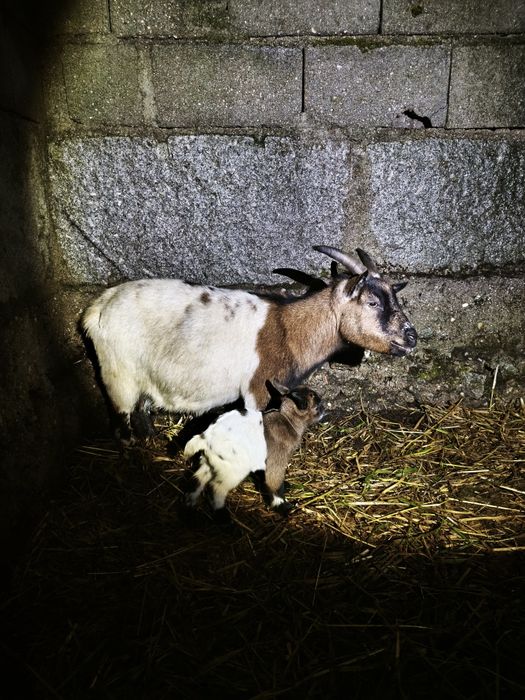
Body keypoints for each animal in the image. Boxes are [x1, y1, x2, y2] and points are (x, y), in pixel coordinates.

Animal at [82, 245, 417, 441]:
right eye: (373, 302)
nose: (411, 336)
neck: (289, 328)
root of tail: (98, 307)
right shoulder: (257, 390)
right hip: (119, 376)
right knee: (123, 421)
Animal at [183, 383, 324, 517]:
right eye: (313, 399)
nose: (323, 406)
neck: (288, 421)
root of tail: (206, 437)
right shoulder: (277, 460)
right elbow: (274, 482)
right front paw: (283, 506)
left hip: (212, 461)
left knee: (198, 478)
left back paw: (190, 505)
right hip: (234, 470)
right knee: (217, 487)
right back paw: (223, 516)